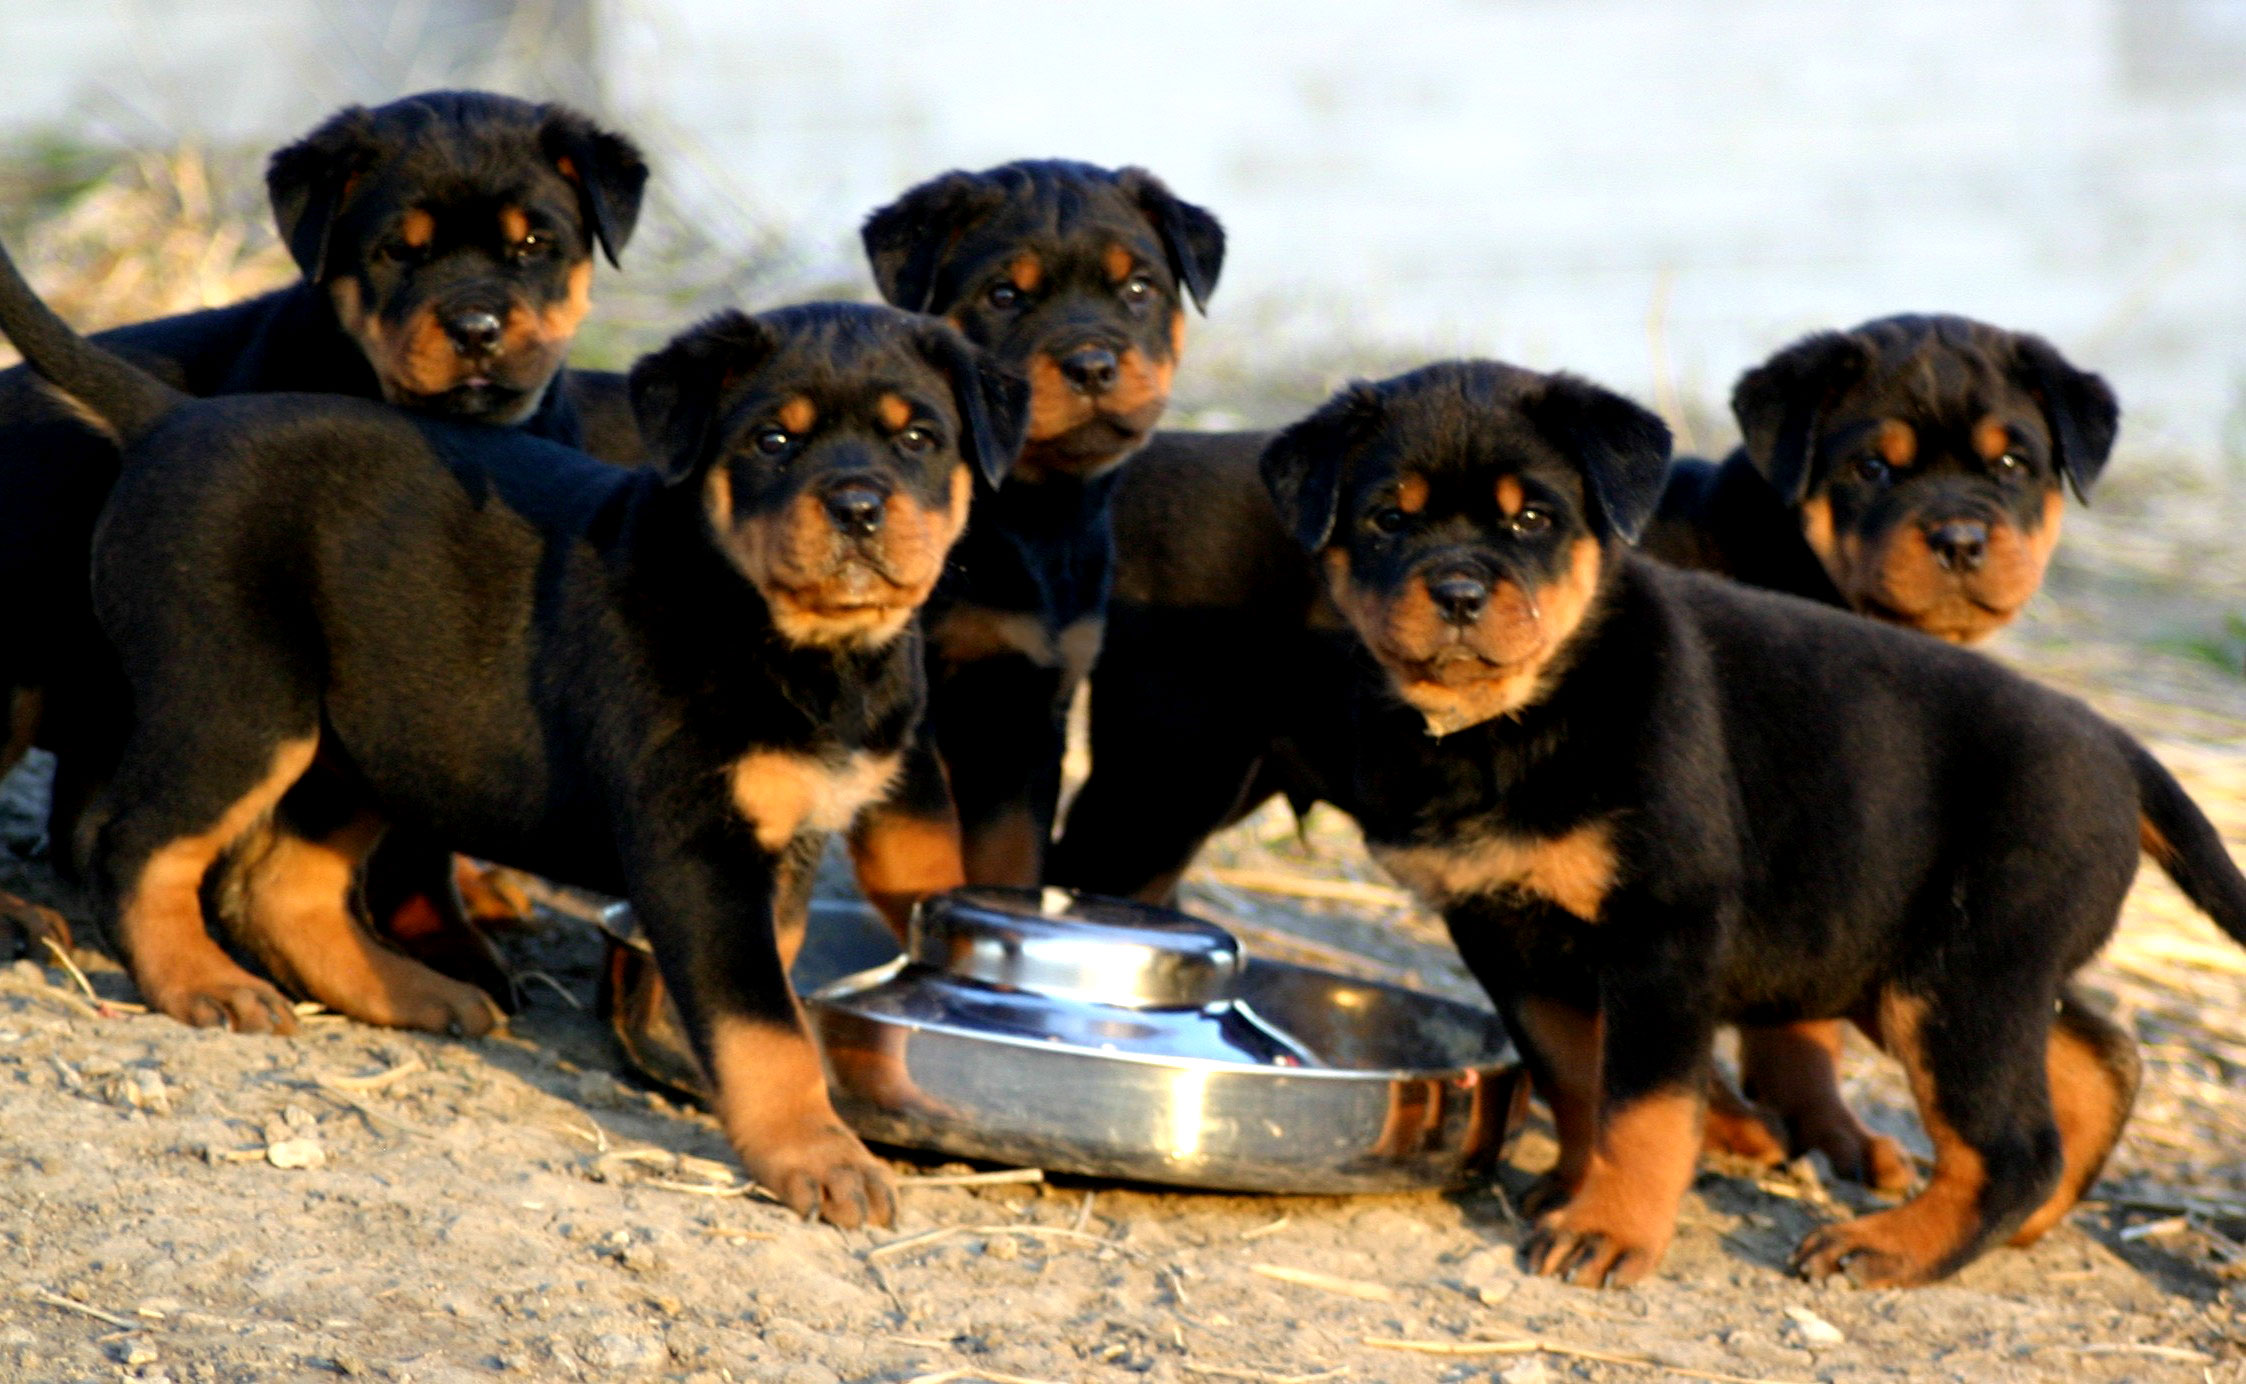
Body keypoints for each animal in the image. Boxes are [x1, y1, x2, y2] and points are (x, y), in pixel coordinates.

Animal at [0, 232, 1028, 1231]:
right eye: (774, 440)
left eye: (920, 439)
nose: (858, 505)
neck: (790, 639)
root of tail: (172, 420)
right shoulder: (696, 847)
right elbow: (762, 1026)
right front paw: (819, 1159)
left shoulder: (790, 844)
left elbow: (764, 989)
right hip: (242, 704)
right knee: (134, 844)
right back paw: (199, 983)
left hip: (371, 740)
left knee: (279, 887)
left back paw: (415, 992)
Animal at [844, 161, 1221, 907]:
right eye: (1004, 295)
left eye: (1139, 289)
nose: (1093, 365)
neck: (1034, 515)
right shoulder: (903, 711)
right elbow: (919, 844)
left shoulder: (1030, 709)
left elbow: (1012, 855)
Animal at [1257, 357, 2246, 1285]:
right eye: (1387, 519)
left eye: (1532, 519)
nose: (1459, 592)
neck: (1517, 719)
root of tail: (2118, 745)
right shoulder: (1508, 938)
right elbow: (1575, 1076)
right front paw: (1575, 1188)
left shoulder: (1664, 933)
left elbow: (1644, 1107)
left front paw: (1609, 1231)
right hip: (1938, 965)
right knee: (2101, 1059)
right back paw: (2022, 1225)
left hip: (1956, 976)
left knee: (2012, 1145)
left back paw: (1887, 1247)